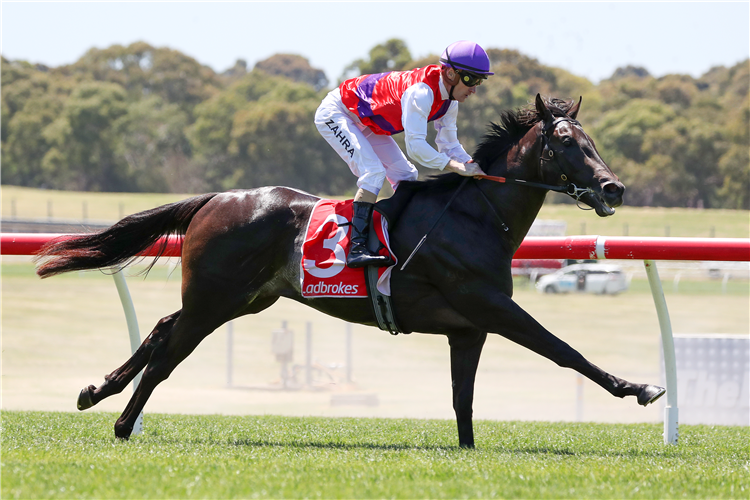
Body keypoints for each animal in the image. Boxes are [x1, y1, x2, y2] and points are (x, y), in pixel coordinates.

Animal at [35, 95, 668, 448]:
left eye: (590, 139)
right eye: (565, 142)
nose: (613, 187)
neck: (476, 214)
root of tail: (216, 197)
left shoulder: (469, 328)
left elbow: (463, 401)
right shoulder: (491, 305)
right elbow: (564, 350)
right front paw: (639, 388)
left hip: (243, 297)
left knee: (162, 328)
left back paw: (95, 392)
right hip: (216, 300)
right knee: (169, 350)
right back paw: (123, 422)